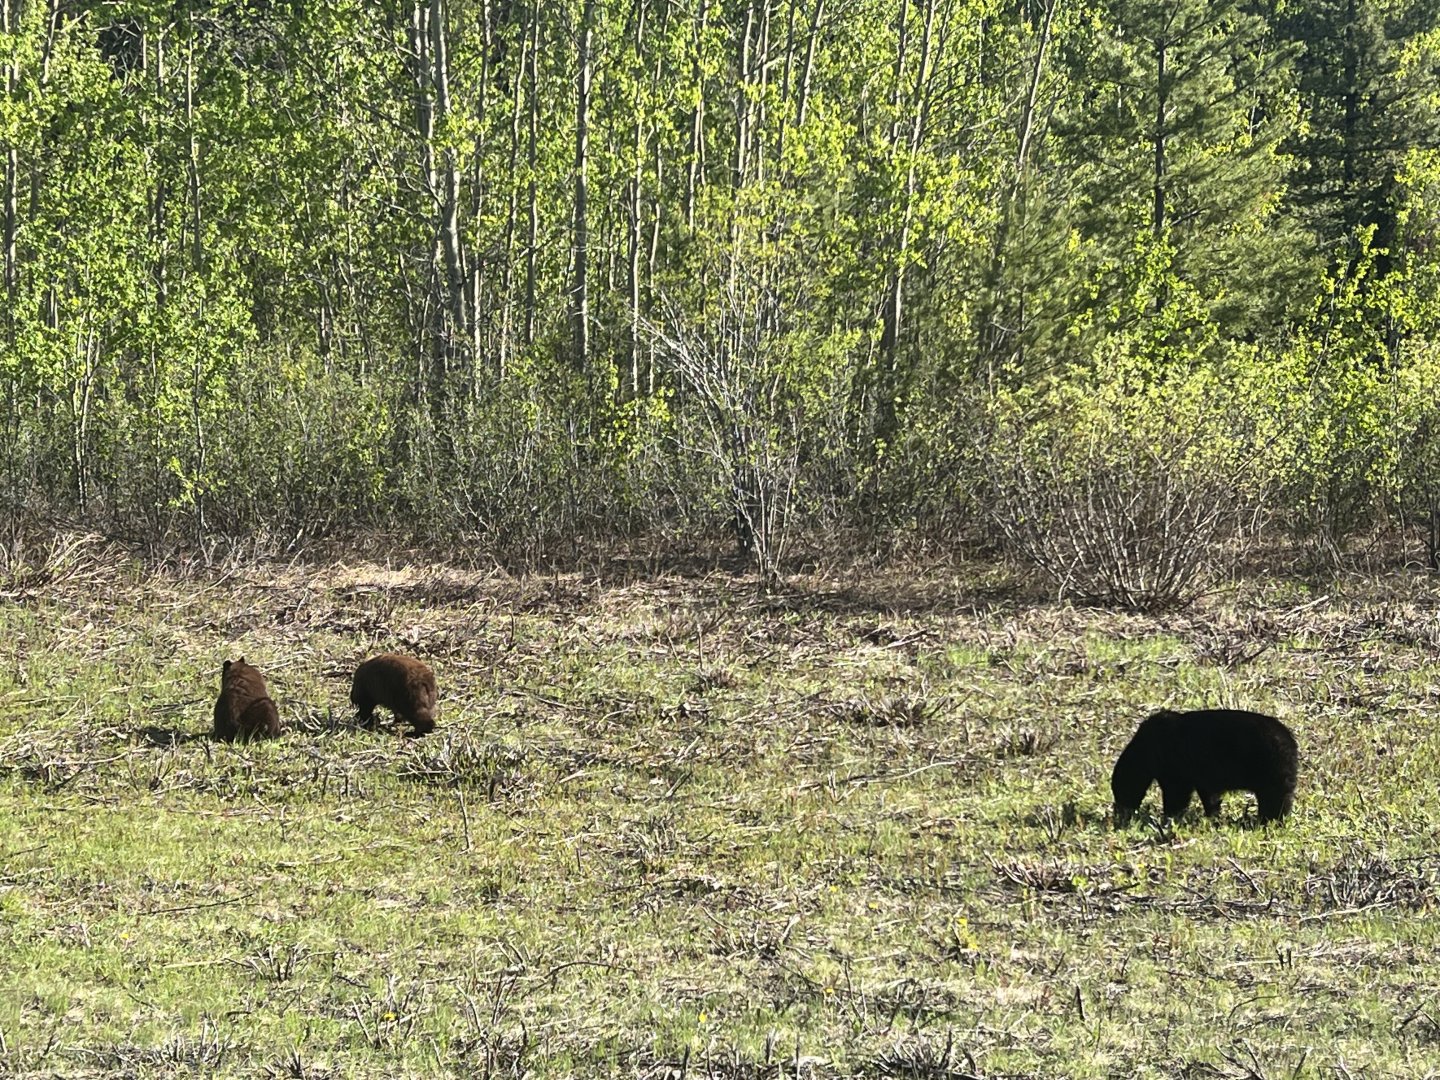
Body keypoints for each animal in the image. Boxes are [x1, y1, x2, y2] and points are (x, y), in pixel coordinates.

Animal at [1111, 708, 1297, 826]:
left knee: (1275, 797)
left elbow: (1177, 793)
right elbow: (1209, 794)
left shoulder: (1175, 765)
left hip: (1270, 766)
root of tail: (1290, 741)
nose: (1118, 815)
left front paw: (1170, 817)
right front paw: (1212, 815)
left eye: (1121, 790)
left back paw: (1269, 821)